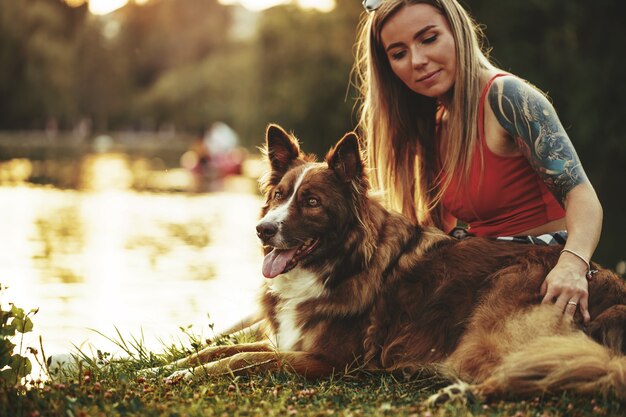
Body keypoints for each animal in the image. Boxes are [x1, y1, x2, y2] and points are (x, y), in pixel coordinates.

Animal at [162, 125, 624, 402]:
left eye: (310, 202)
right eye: (279, 196)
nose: (263, 230)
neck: (339, 265)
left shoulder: (330, 361)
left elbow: (242, 360)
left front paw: (189, 375)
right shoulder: (291, 341)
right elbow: (224, 347)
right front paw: (169, 366)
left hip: (490, 325)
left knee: (522, 373)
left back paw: (457, 393)